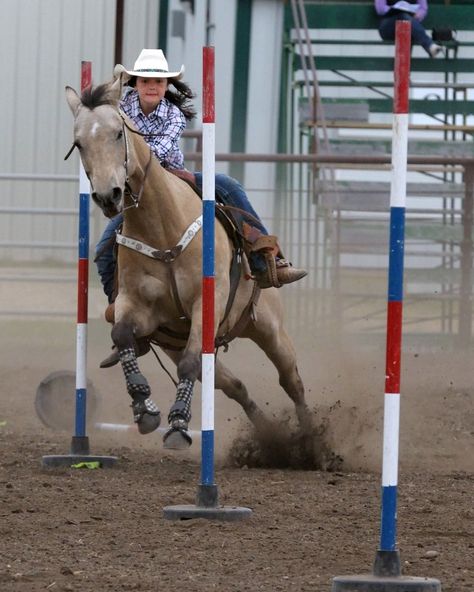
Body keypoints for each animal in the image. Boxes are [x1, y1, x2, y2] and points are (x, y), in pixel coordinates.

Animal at [65, 76, 312, 450]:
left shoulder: (205, 305)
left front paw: (179, 423)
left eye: (118, 134)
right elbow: (123, 335)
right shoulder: (135, 306)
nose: (109, 196)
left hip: (270, 329)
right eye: (79, 144)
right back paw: (269, 436)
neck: (163, 230)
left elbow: (191, 363)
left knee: (291, 380)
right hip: (175, 345)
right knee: (235, 386)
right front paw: (144, 407)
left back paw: (313, 439)